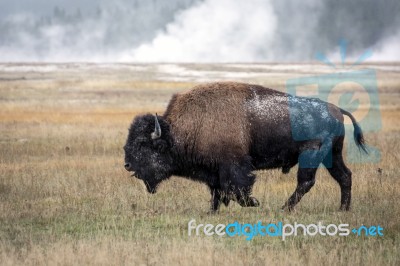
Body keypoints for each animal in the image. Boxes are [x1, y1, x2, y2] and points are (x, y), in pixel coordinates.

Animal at [122, 81, 366, 212]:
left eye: (143, 144)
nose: (127, 165)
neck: (179, 131)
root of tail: (336, 109)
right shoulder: (215, 173)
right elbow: (217, 192)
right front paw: (211, 212)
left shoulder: (234, 166)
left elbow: (238, 190)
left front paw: (254, 203)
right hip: (332, 155)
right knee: (344, 176)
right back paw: (342, 209)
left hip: (311, 155)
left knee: (306, 182)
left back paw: (284, 208)